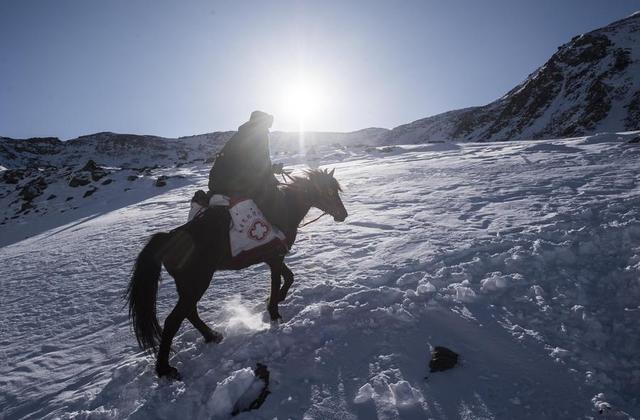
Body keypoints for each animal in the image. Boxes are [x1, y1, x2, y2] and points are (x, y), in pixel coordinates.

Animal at [124, 168, 344, 380]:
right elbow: (278, 281)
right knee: (173, 320)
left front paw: (277, 300)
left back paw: (212, 336)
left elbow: (289, 277)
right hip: (197, 282)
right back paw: (165, 369)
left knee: (189, 313)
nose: (343, 214)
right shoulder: (275, 257)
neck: (284, 207)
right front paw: (274, 313)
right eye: (329, 192)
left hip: (188, 286)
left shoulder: (273, 257)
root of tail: (168, 238)